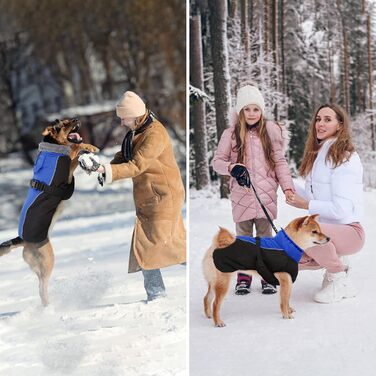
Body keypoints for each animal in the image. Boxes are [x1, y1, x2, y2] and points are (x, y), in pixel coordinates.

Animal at [0, 119, 98, 306]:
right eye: (64, 124)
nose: (76, 118)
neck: (53, 147)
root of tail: (22, 240)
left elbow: (76, 150)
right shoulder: (67, 167)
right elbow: (76, 148)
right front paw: (90, 147)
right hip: (47, 259)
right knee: (42, 286)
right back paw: (48, 306)